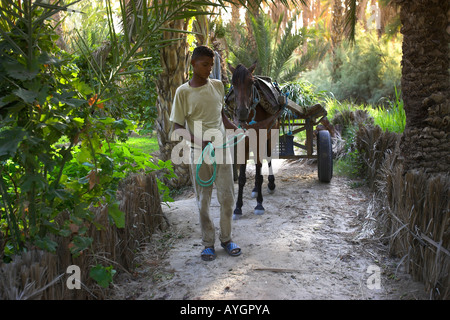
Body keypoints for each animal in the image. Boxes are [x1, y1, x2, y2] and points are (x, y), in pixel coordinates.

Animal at [227, 62, 284, 220]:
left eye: (251, 82)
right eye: (233, 83)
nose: (241, 112)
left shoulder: (260, 138)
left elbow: (259, 171)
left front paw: (259, 204)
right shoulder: (243, 142)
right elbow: (242, 177)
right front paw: (237, 207)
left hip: (271, 135)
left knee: (268, 158)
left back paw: (270, 184)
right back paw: (255, 189)